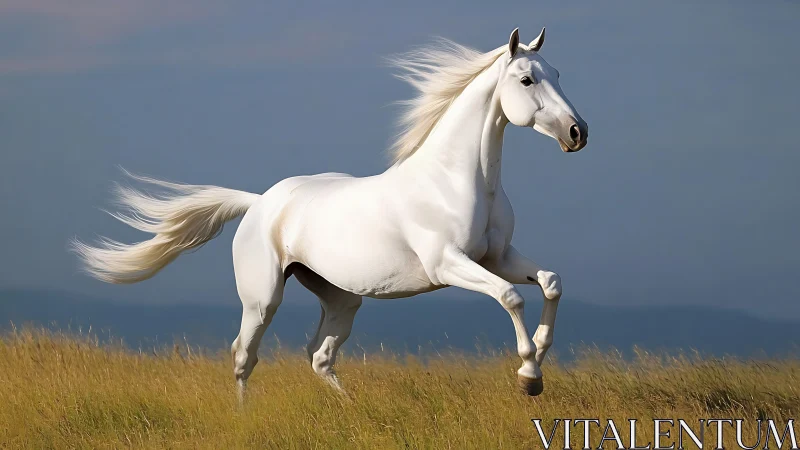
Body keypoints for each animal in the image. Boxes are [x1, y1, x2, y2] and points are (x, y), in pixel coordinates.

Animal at [72, 27, 588, 401]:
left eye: (559, 72)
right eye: (527, 80)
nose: (577, 132)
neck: (455, 182)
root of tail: (259, 203)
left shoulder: (497, 257)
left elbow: (551, 282)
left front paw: (540, 359)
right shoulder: (449, 264)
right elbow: (511, 297)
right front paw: (528, 376)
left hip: (341, 298)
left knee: (319, 356)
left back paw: (351, 409)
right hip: (262, 298)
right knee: (243, 355)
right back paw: (245, 415)